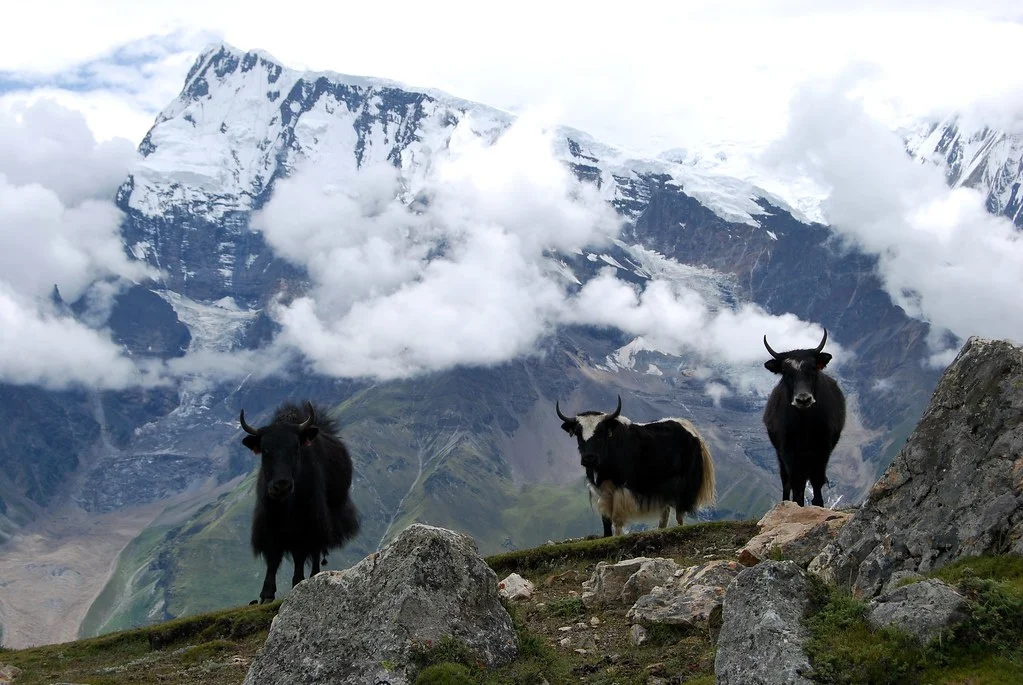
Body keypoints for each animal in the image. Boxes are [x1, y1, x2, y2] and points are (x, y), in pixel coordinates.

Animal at [239, 400, 360, 604]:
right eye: (265, 449)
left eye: (296, 448)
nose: (281, 485)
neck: (286, 505)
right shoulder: (269, 525)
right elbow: (273, 557)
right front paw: (267, 595)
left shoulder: (306, 523)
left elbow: (300, 555)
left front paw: (297, 583)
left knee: (315, 551)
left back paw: (313, 576)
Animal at [556, 395, 716, 536]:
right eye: (578, 433)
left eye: (601, 432)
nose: (589, 458)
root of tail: (692, 431)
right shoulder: (602, 491)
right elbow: (606, 520)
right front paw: (607, 536)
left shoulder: (621, 488)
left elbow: (617, 519)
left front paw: (618, 537)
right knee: (665, 513)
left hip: (683, 484)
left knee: (679, 512)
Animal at [762, 328, 846, 507]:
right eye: (786, 372)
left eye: (813, 367)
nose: (803, 399)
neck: (804, 424)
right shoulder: (788, 451)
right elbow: (796, 483)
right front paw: (797, 505)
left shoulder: (822, 449)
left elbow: (816, 479)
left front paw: (818, 504)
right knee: (786, 480)